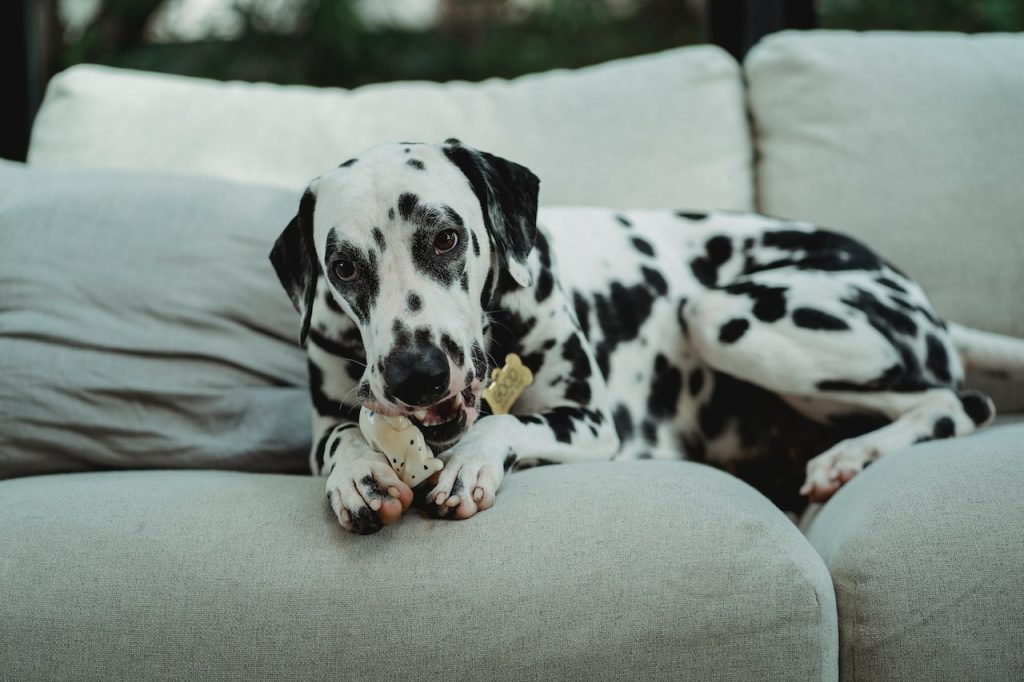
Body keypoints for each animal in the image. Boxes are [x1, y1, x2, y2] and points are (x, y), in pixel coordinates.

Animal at [268, 137, 1019, 532]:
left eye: (445, 237)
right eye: (344, 266)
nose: (417, 374)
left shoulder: (592, 421)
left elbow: (506, 423)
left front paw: (471, 462)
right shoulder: (328, 418)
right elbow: (343, 437)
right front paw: (359, 475)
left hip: (725, 318)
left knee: (956, 401)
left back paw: (850, 456)